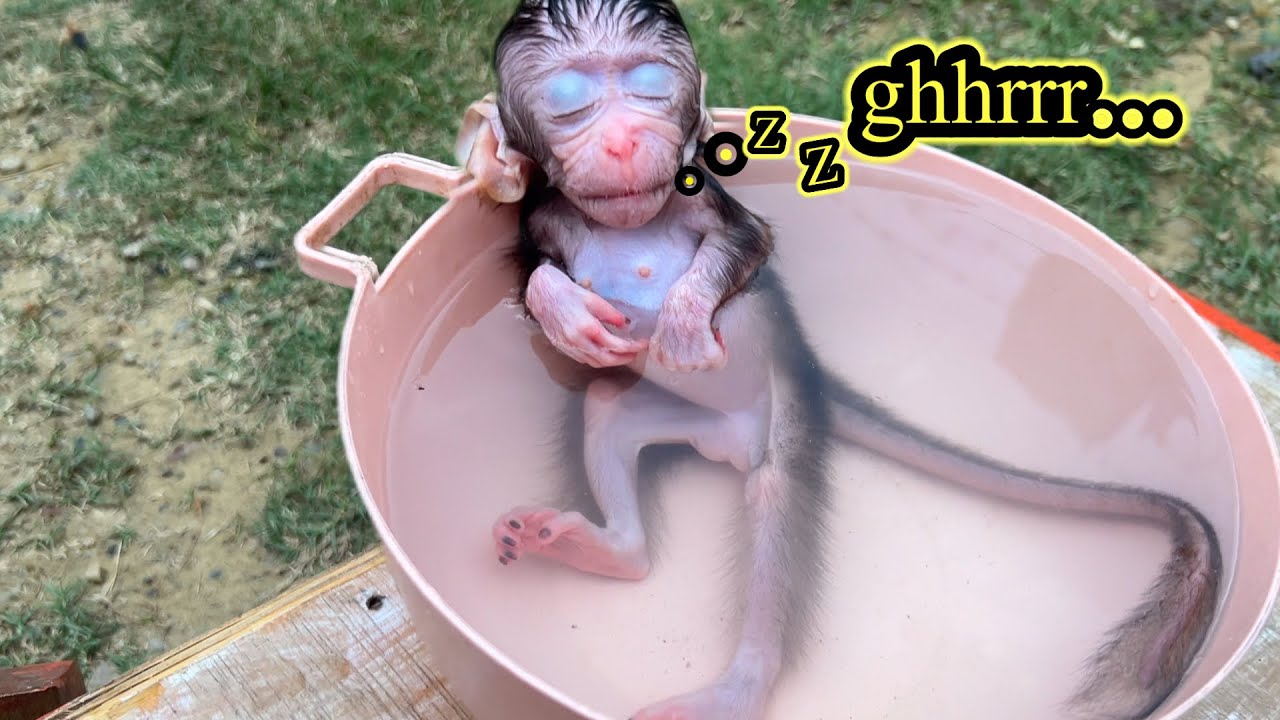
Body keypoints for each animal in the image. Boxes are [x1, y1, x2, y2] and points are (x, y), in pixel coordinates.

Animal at [453, 2, 1221, 719]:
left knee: (777, 493)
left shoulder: (713, 200)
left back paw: (738, 686)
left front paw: (684, 321)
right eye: (570, 106)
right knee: (609, 408)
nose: (621, 140)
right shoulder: (541, 217)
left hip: (783, 409)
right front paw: (562, 311)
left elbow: (748, 246)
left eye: (648, 90)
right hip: (675, 417)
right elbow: (529, 276)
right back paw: (611, 550)